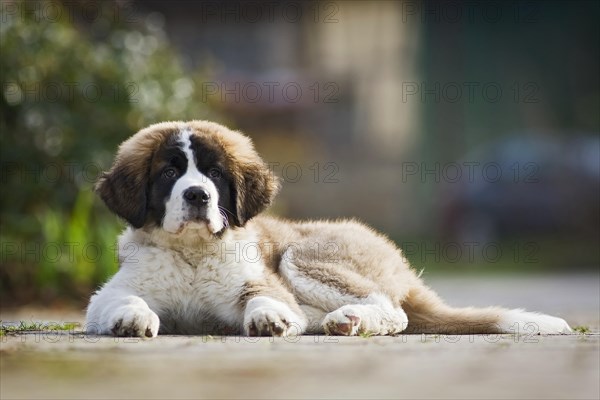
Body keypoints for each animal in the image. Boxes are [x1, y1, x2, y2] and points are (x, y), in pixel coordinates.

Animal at [88, 121, 572, 338]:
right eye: (170, 173)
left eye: (215, 174)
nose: (197, 196)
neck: (191, 253)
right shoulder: (108, 294)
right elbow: (122, 298)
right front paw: (132, 317)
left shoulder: (265, 280)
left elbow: (264, 297)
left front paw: (267, 318)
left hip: (302, 257)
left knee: (393, 312)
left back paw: (349, 319)